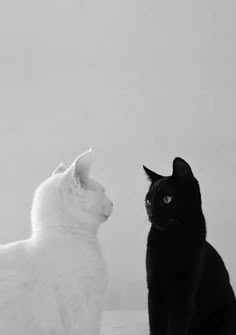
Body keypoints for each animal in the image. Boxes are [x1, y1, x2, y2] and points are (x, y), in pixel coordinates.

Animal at [143, 159, 236, 335]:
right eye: (148, 202)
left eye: (167, 199)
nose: (151, 215)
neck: (170, 240)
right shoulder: (155, 291)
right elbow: (155, 325)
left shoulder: (183, 296)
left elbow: (176, 327)